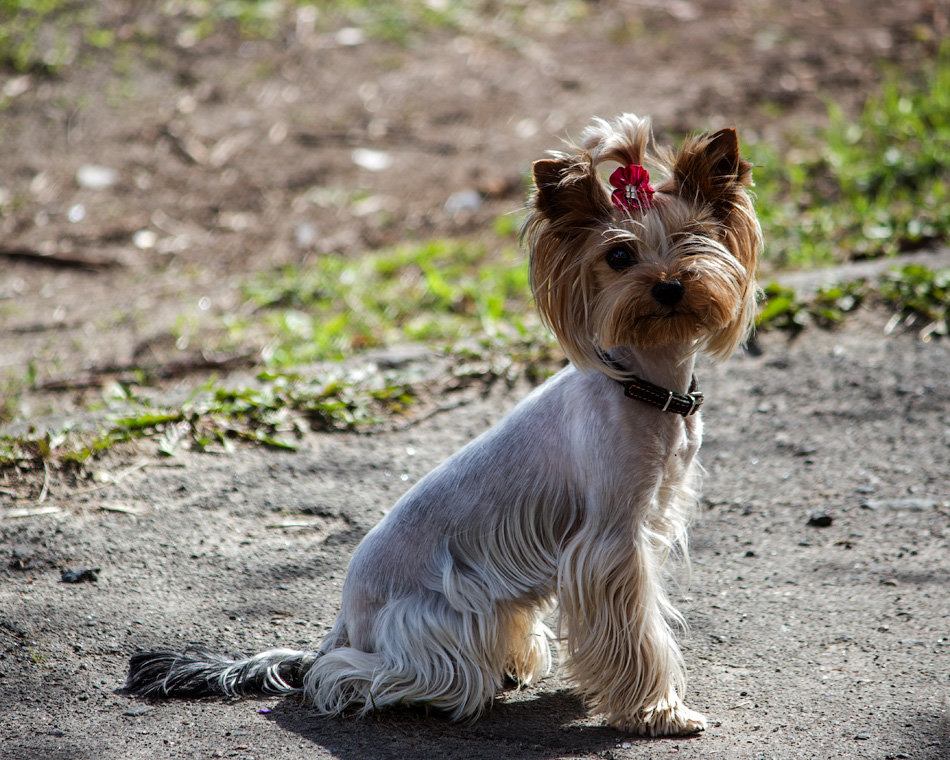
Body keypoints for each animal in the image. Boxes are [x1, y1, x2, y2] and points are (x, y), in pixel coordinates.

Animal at [126, 113, 764, 736]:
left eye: (695, 239)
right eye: (619, 257)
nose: (669, 285)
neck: (643, 382)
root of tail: (342, 622)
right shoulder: (611, 541)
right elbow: (637, 631)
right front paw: (658, 711)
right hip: (442, 619)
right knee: (359, 673)